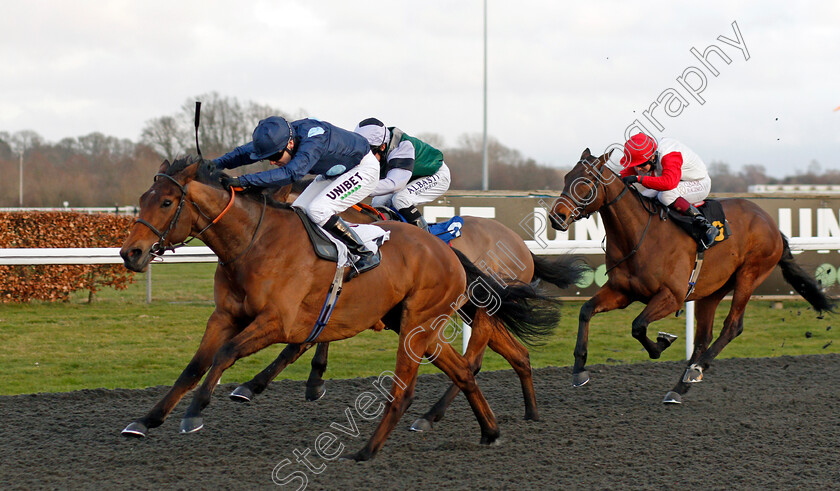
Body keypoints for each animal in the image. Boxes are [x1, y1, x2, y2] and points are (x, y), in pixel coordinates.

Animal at [230, 188, 584, 430]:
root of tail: (523, 246)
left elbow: (298, 344)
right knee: (516, 354)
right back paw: (531, 413)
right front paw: (309, 381)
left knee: (474, 359)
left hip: (479, 307)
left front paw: (254, 385)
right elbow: (312, 337)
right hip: (473, 309)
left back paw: (430, 415)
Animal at [548, 149, 832, 404]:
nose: (556, 217)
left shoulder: (672, 296)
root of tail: (771, 223)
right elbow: (586, 311)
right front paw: (579, 371)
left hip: (749, 275)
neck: (640, 234)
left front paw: (661, 343)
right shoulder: (622, 291)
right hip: (712, 290)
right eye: (565, 178)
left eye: (585, 182)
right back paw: (679, 387)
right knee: (702, 338)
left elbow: (638, 326)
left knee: (732, 326)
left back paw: (695, 370)